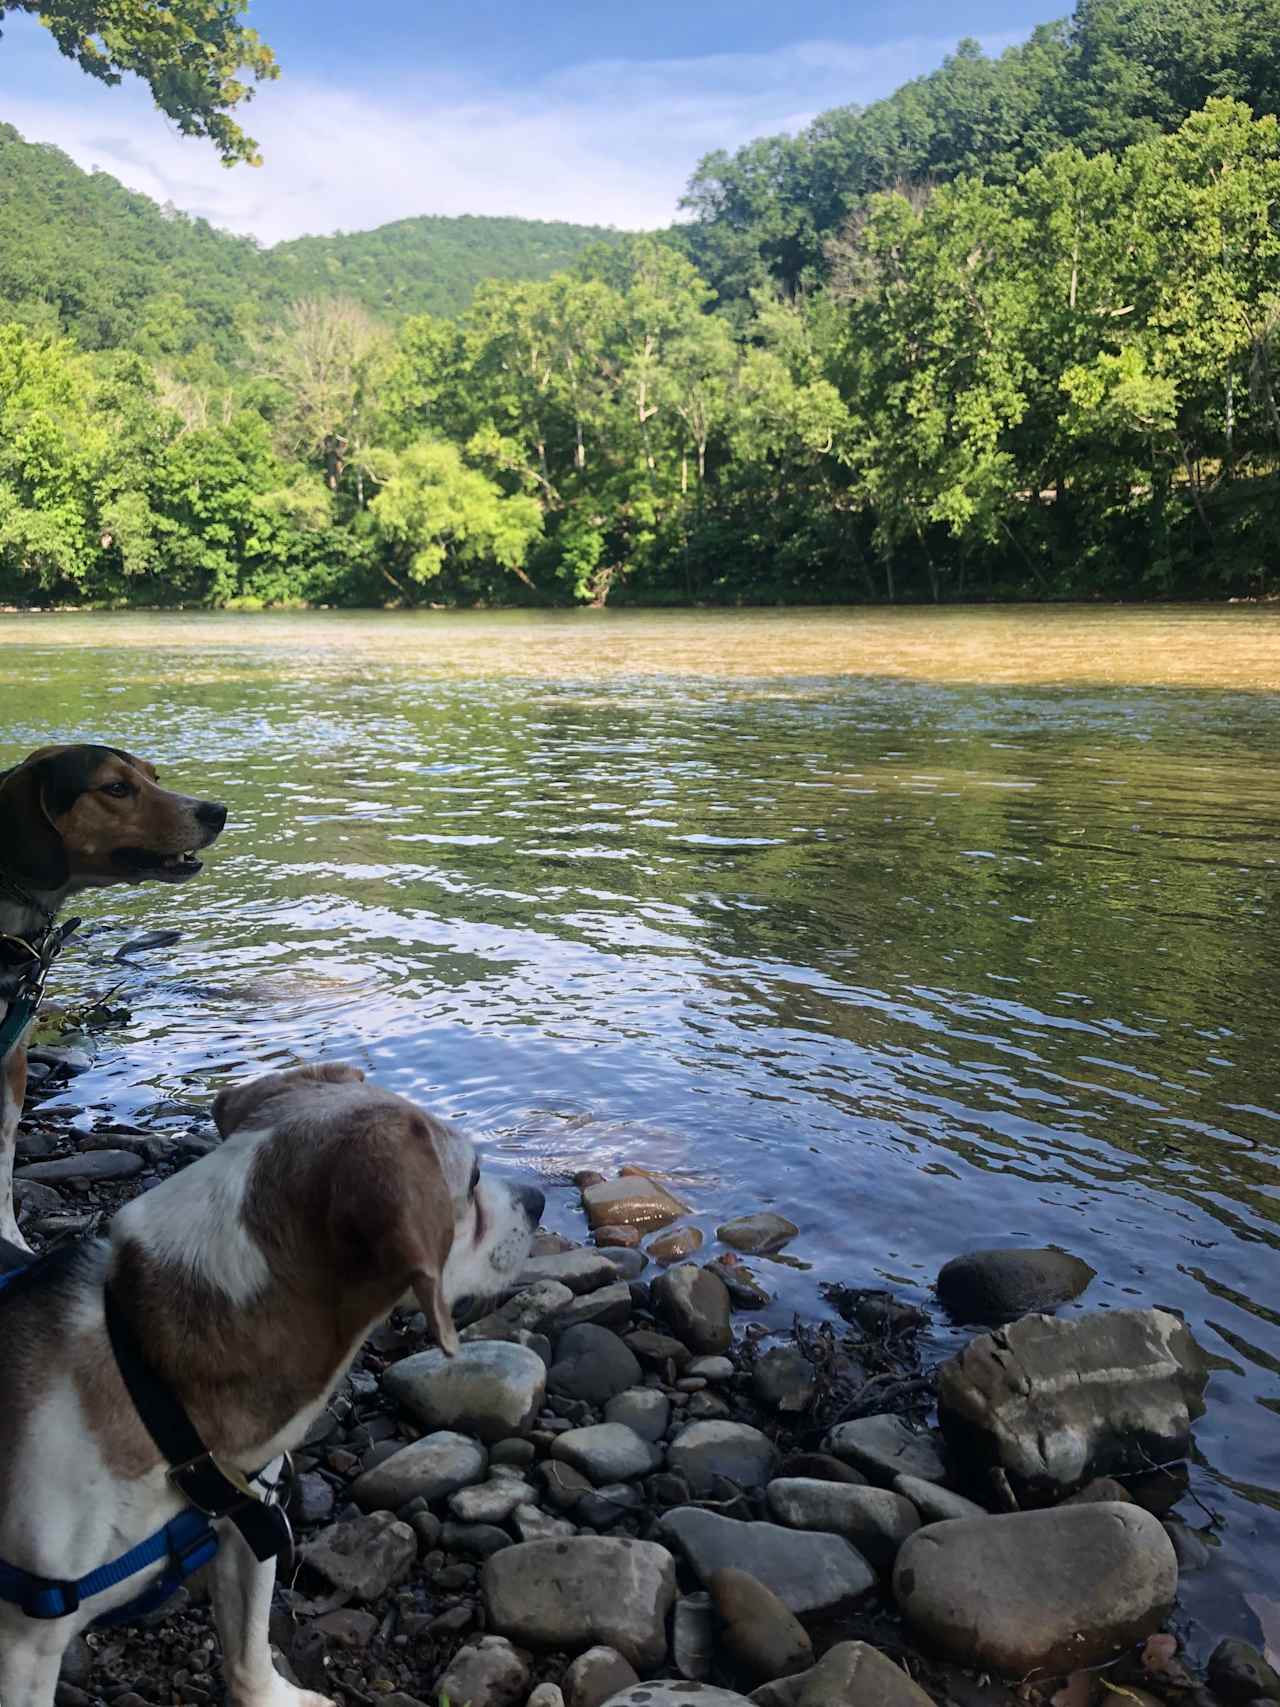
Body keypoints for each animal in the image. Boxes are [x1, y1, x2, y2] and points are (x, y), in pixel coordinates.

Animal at [0, 1058, 542, 1707]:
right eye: (475, 1175)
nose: (540, 1199)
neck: (156, 1377)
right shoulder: (24, 1647)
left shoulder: (250, 1525)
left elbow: (249, 1649)